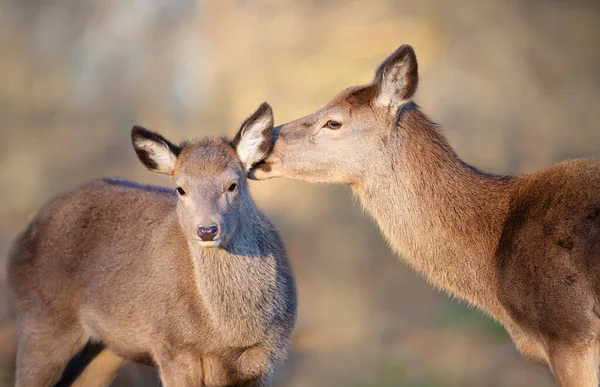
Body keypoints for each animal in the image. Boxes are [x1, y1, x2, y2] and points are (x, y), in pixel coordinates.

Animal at [7, 103, 298, 387]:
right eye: (181, 189)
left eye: (233, 185)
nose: (206, 230)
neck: (231, 334)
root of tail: (19, 244)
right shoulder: (172, 347)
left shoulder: (264, 361)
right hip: (41, 322)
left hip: (106, 348)